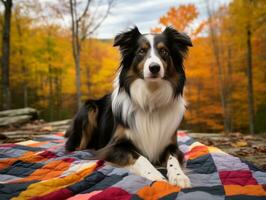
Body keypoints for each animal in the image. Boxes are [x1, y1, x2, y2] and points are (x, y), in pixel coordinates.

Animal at [65, 26, 192, 188]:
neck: (150, 98)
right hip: (89, 108)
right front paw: (156, 175)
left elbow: (173, 159)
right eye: (141, 51)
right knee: (79, 146)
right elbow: (140, 157)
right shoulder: (113, 147)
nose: (154, 67)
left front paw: (179, 176)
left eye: (164, 51)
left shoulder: (171, 145)